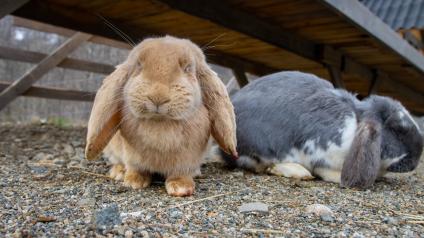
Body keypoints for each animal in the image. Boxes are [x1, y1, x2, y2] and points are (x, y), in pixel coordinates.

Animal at [85, 34, 238, 195]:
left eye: (188, 68)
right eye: (138, 65)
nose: (157, 96)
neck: (160, 123)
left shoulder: (186, 160)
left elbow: (180, 173)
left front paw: (181, 188)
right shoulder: (132, 156)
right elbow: (136, 168)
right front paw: (134, 182)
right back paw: (119, 172)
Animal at [220, 70, 422, 188]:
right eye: (398, 130)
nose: (414, 163)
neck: (356, 120)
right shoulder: (321, 152)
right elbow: (325, 170)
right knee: (258, 165)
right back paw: (298, 172)